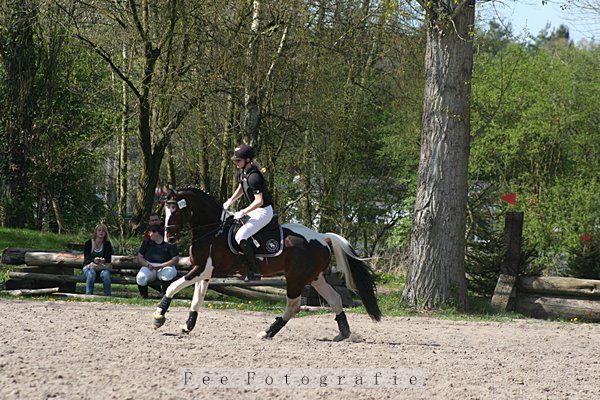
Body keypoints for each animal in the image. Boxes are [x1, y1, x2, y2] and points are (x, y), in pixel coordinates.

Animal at [152, 187, 381, 341]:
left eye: (176, 210)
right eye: (166, 210)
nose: (169, 237)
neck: (213, 231)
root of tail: (321, 237)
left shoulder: (202, 269)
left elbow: (172, 287)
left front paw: (159, 317)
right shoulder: (205, 271)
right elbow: (196, 299)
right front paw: (187, 326)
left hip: (296, 279)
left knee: (294, 306)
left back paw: (267, 331)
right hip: (315, 278)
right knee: (334, 299)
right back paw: (344, 333)